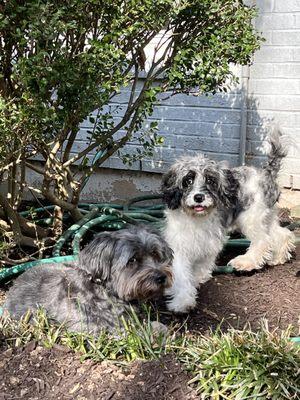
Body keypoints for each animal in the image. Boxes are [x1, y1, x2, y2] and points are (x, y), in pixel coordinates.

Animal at [4, 225, 173, 334]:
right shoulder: (97, 328)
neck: (104, 290)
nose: (161, 277)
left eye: (155, 254)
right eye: (132, 260)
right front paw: (158, 331)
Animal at [162, 127, 296, 312]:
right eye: (188, 180)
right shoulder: (180, 243)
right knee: (282, 234)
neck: (196, 218)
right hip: (267, 216)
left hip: (250, 217)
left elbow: (202, 262)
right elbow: (182, 272)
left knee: (263, 241)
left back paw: (245, 262)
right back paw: (278, 257)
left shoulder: (211, 238)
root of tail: (266, 172)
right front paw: (185, 296)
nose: (198, 197)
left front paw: (186, 296)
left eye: (210, 180)